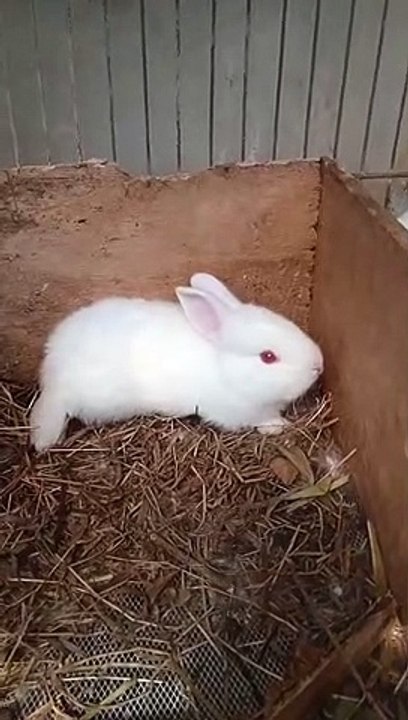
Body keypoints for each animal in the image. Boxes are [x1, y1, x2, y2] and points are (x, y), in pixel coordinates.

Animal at [30, 273, 323, 451]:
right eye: (268, 357)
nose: (318, 366)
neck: (225, 367)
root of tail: (53, 375)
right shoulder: (237, 412)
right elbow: (261, 419)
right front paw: (279, 426)